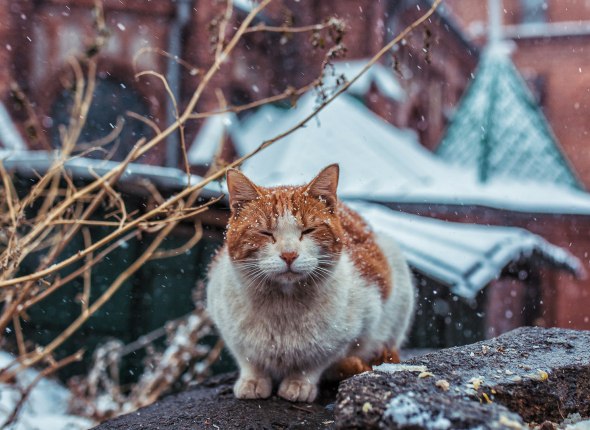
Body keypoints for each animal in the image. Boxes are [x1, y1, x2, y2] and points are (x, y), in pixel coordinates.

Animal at [207, 164, 416, 404]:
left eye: (308, 231)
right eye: (265, 233)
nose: (289, 254)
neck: (283, 307)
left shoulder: (352, 331)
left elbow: (314, 362)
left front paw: (299, 383)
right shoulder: (229, 328)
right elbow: (249, 359)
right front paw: (253, 380)